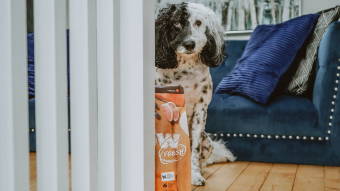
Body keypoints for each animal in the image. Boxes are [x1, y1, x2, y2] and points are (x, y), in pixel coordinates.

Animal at [155, 2, 236, 186]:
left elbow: (194, 151)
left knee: (204, 159)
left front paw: (194, 175)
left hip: (208, 143)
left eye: (198, 23)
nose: (189, 44)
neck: (184, 71)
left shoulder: (201, 109)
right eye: (176, 24)